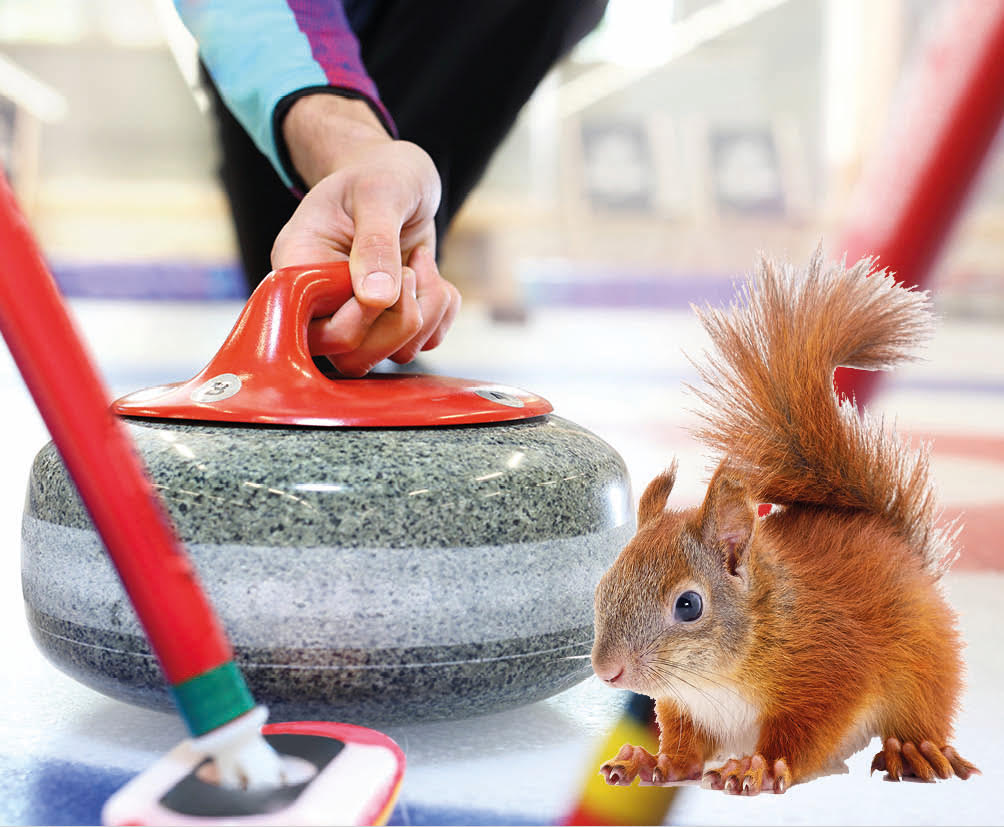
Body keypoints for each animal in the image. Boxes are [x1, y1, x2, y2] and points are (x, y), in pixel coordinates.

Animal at [586, 249, 979, 794]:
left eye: (689, 605)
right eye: (603, 586)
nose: (608, 671)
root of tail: (897, 541)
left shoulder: (828, 671)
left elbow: (802, 735)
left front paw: (758, 766)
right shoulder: (688, 708)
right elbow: (684, 751)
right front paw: (650, 762)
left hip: (925, 666)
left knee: (922, 713)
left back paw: (915, 750)